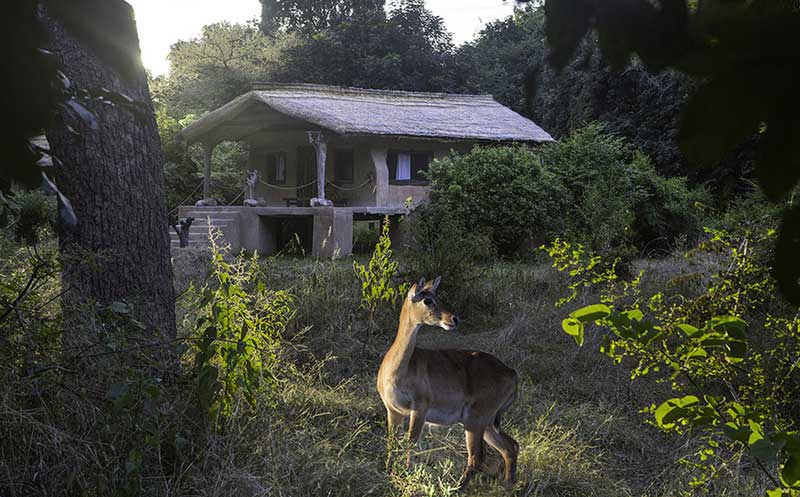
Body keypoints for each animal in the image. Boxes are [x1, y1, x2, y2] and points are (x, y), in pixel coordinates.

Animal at [378, 278, 520, 490]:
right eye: (428, 299)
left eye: (436, 296)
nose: (454, 319)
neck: (399, 369)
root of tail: (512, 373)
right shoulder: (393, 410)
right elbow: (392, 444)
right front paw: (388, 472)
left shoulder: (419, 409)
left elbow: (411, 444)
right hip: (486, 424)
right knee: (510, 447)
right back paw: (507, 486)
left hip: (475, 421)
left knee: (477, 458)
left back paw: (457, 488)